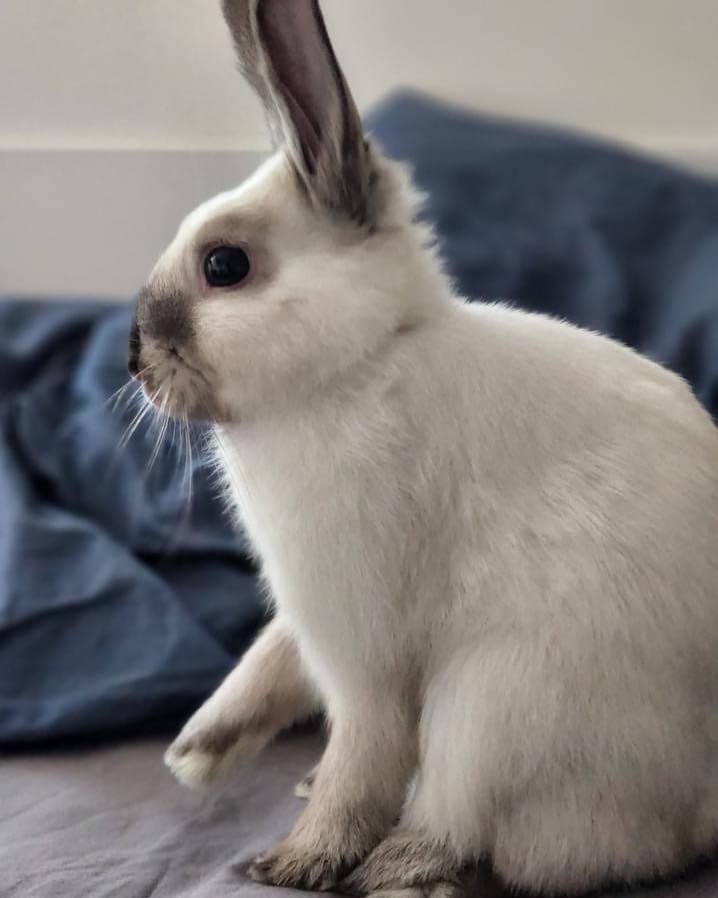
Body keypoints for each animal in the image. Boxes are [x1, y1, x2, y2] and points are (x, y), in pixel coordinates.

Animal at [129, 0, 718, 895]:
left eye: (225, 265)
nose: (133, 361)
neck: (361, 360)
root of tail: (704, 808)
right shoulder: (303, 617)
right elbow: (268, 663)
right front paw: (195, 753)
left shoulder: (358, 638)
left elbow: (362, 754)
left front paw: (297, 859)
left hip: (492, 706)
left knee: (490, 840)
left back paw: (394, 862)